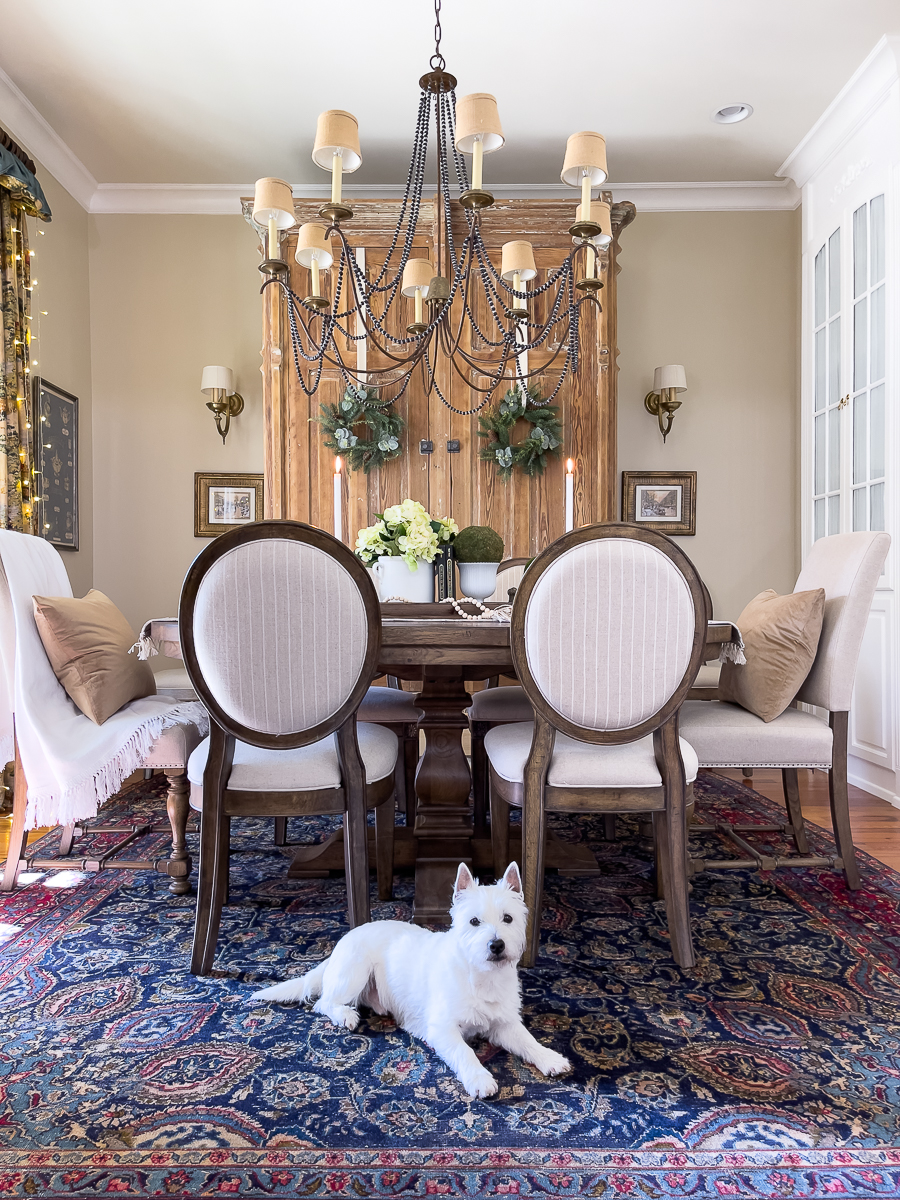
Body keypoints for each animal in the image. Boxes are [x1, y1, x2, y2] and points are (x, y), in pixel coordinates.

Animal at [255, 864, 571, 1099]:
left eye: (508, 918)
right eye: (474, 921)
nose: (496, 945)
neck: (481, 976)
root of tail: (341, 944)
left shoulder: (504, 1024)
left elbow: (528, 1040)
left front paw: (550, 1058)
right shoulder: (442, 1029)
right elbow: (466, 1051)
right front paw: (480, 1079)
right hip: (355, 971)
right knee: (325, 1002)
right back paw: (346, 1015)